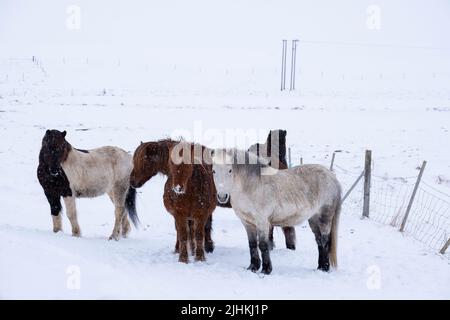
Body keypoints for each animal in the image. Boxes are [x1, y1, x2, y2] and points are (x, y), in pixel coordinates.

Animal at [211, 149, 342, 274]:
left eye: (230, 170)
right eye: (213, 171)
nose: (222, 196)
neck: (252, 185)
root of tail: (332, 177)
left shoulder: (262, 222)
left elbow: (263, 245)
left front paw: (266, 270)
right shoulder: (247, 223)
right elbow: (252, 245)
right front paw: (253, 267)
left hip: (325, 217)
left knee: (325, 241)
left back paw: (325, 268)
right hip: (313, 219)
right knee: (319, 241)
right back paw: (320, 267)